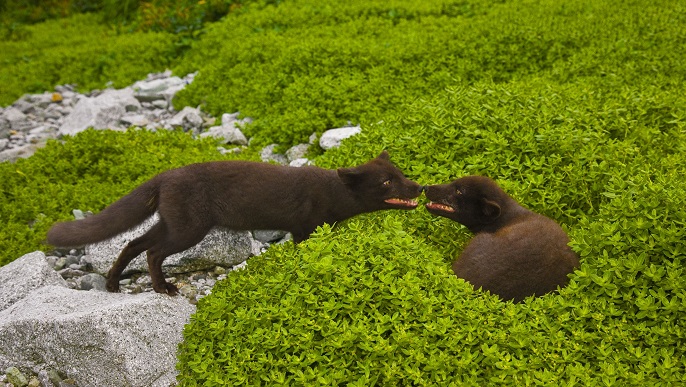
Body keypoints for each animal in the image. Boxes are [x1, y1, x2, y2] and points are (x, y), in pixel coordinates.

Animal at [48, 152, 422, 294]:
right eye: (386, 183)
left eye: (401, 174)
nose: (419, 187)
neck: (333, 193)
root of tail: (163, 176)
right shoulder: (303, 229)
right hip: (188, 229)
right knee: (152, 252)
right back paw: (163, 288)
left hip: (171, 223)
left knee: (132, 243)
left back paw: (112, 284)